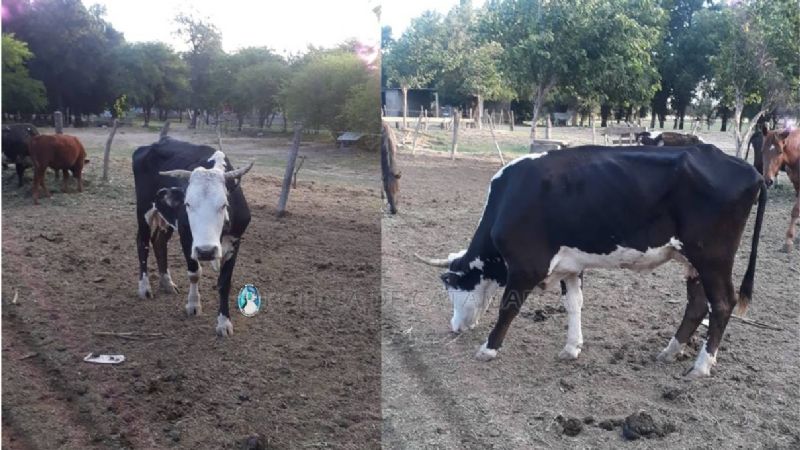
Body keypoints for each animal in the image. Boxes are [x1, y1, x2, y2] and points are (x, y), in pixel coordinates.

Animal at [133, 137, 253, 336]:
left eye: (224, 204)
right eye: (188, 204)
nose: (206, 251)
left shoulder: (236, 241)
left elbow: (224, 283)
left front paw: (223, 323)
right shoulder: (186, 236)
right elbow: (194, 273)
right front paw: (193, 305)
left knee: (159, 242)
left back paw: (167, 283)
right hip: (144, 210)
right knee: (143, 243)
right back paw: (144, 288)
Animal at [416, 144, 766, 378]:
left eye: (452, 290)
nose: (454, 327)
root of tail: (751, 170)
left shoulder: (527, 265)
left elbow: (508, 307)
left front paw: (489, 349)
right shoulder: (570, 267)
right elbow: (574, 304)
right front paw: (572, 348)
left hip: (713, 258)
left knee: (722, 304)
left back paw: (701, 366)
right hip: (693, 261)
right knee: (697, 305)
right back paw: (669, 351)